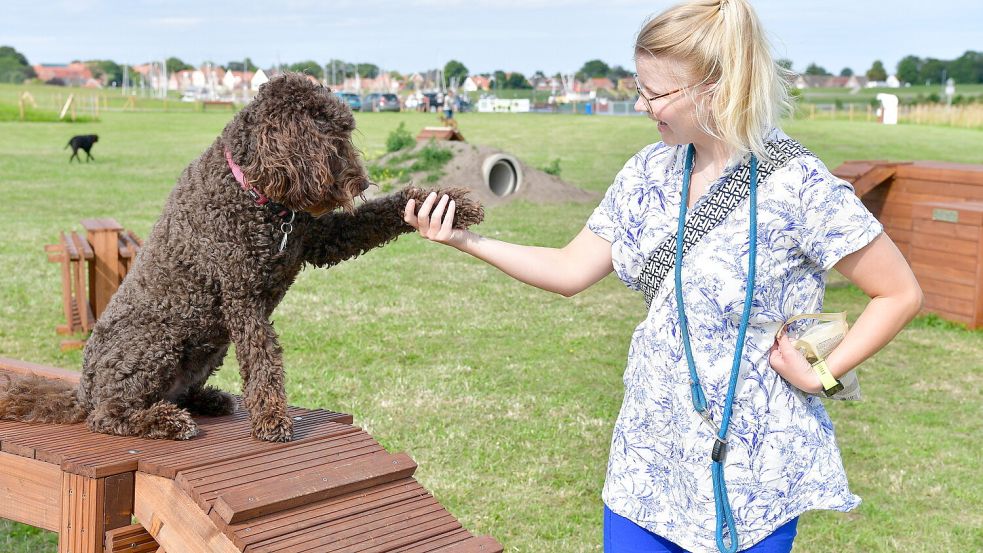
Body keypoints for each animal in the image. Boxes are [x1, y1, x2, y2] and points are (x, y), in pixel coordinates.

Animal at [0, 74, 484, 444]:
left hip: (210, 349)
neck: (256, 196)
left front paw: (448, 203)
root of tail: (83, 391)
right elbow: (263, 361)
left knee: (174, 392)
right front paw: (272, 421)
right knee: (108, 417)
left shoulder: (319, 239)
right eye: (329, 137)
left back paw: (207, 400)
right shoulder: (242, 295)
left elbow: (381, 214)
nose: (362, 181)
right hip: (155, 343)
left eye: (347, 131)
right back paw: (164, 421)